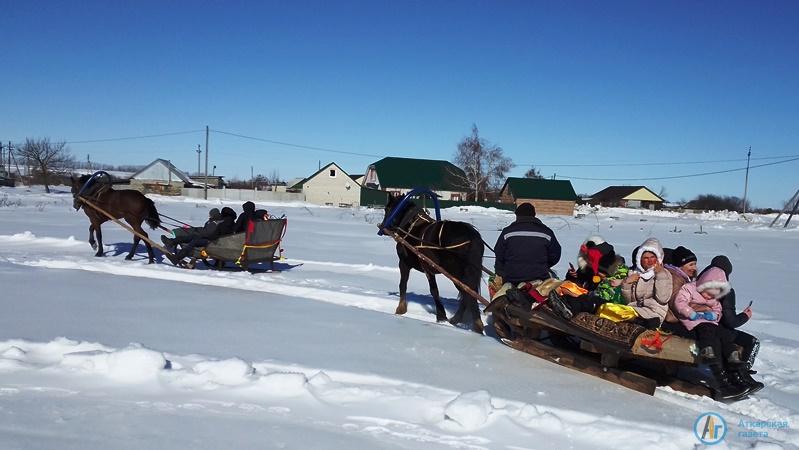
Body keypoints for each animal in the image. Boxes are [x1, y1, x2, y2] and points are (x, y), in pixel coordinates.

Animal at [382, 197, 488, 334]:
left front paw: (401, 309)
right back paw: (458, 320)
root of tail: (472, 237)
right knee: (467, 295)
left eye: (387, 209)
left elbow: (408, 285)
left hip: (456, 273)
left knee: (468, 294)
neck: (410, 227)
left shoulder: (407, 264)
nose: (383, 227)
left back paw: (475, 324)